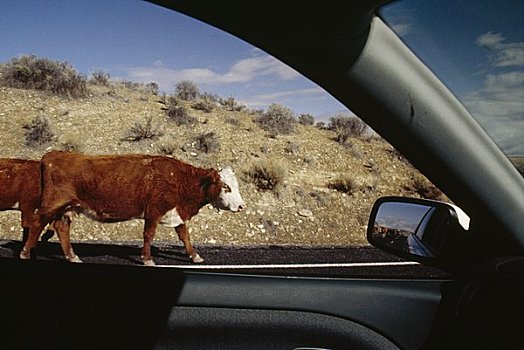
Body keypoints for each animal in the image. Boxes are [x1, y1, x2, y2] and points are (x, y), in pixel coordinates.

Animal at [18, 151, 244, 266]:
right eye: (226, 186)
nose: (242, 206)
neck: (179, 180)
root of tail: (52, 155)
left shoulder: (176, 213)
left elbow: (184, 236)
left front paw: (195, 256)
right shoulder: (153, 211)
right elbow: (148, 235)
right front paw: (148, 260)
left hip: (67, 208)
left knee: (61, 227)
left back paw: (73, 257)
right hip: (52, 204)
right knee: (37, 223)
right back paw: (25, 253)